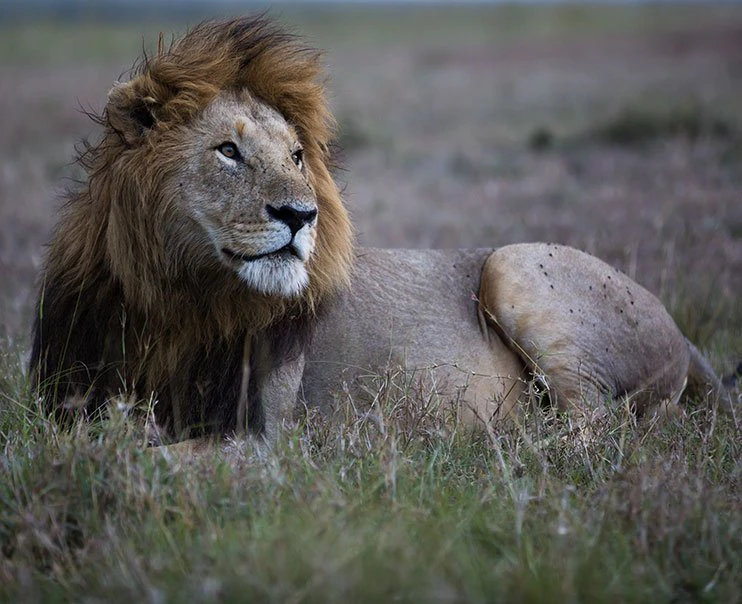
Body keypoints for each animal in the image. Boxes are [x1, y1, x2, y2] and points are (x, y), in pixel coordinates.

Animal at [30, 16, 734, 446]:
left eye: (296, 157)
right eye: (228, 151)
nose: (302, 215)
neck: (169, 303)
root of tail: (683, 333)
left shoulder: (259, 442)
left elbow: (158, 456)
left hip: (513, 265)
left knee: (601, 426)